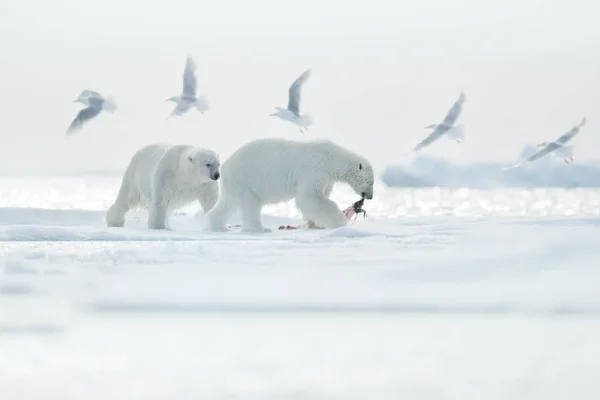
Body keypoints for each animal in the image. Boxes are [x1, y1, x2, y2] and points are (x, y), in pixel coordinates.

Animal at [207, 138, 376, 233]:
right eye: (370, 182)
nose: (370, 196)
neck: (332, 159)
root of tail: (225, 166)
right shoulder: (315, 170)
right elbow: (310, 198)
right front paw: (339, 221)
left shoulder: (327, 178)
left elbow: (319, 197)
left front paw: (314, 224)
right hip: (245, 179)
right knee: (250, 204)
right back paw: (260, 229)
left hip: (234, 184)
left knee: (228, 203)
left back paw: (218, 226)